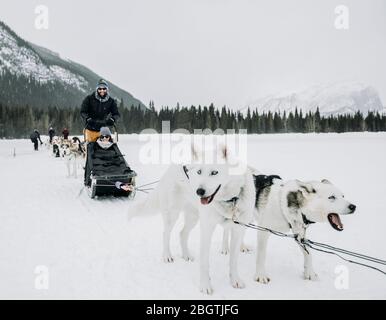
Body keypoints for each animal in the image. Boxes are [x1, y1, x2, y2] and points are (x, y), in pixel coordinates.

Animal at [132, 146, 256, 294]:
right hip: (172, 215)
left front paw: (235, 280)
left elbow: (233, 260)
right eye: (199, 172)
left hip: (193, 218)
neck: (230, 200)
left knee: (182, 234)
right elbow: (204, 263)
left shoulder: (237, 230)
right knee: (166, 233)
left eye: (214, 172)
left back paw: (186, 255)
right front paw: (205, 285)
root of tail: (171, 168)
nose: (199, 191)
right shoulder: (207, 230)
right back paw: (167, 255)